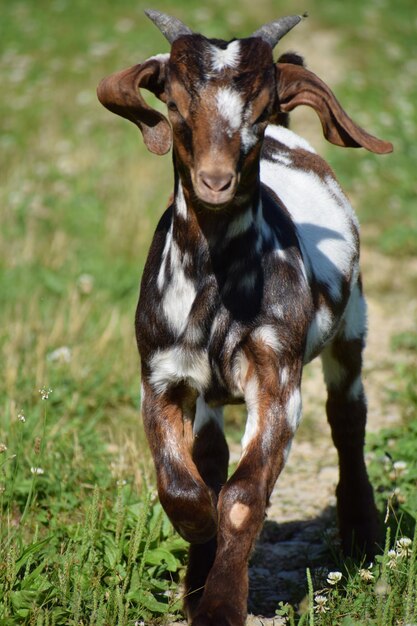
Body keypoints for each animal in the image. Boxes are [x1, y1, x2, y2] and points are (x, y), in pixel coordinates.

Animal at [98, 11, 394, 624]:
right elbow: (184, 483)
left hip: (351, 324)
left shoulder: (277, 377)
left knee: (347, 415)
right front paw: (197, 553)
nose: (215, 181)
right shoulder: (159, 374)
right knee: (211, 454)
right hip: (209, 388)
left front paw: (220, 604)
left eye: (257, 110)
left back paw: (360, 534)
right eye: (175, 105)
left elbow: (241, 497)